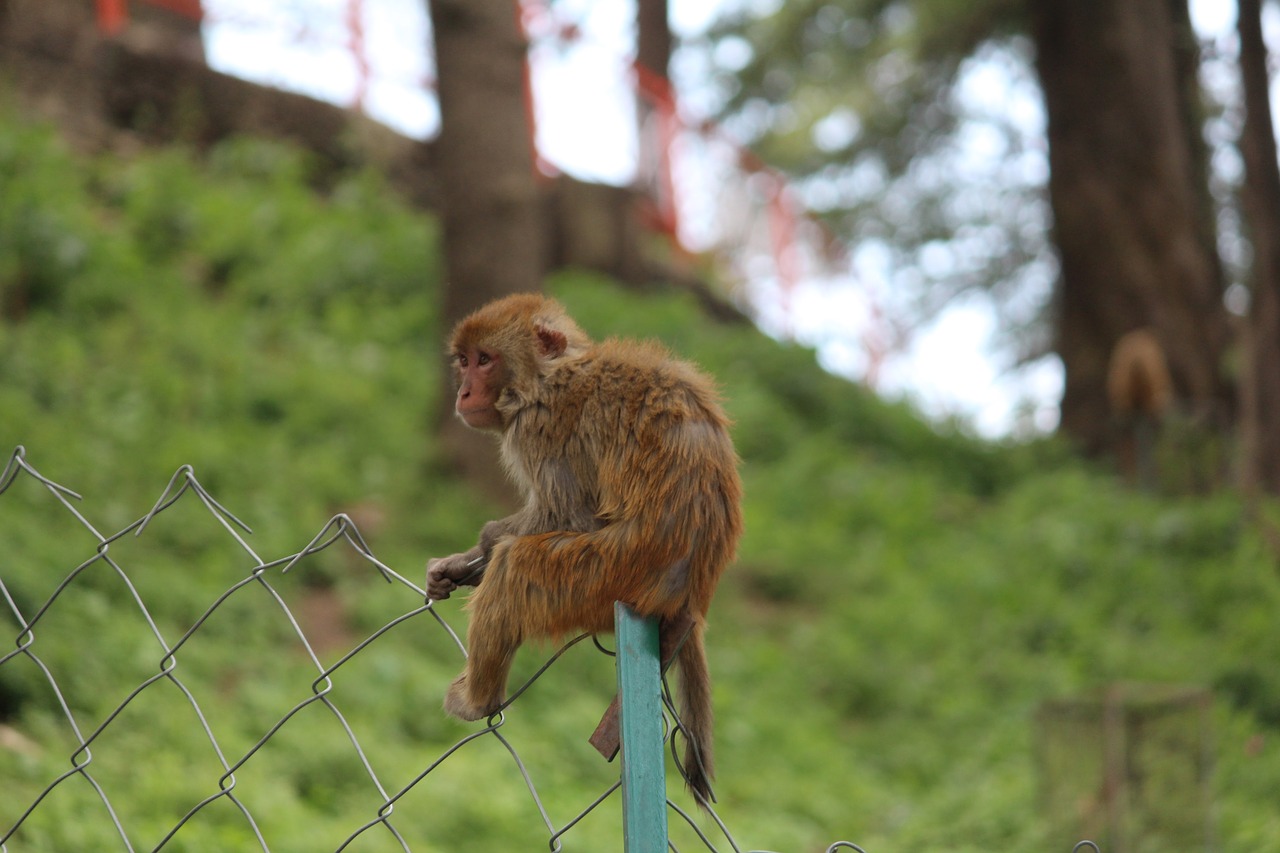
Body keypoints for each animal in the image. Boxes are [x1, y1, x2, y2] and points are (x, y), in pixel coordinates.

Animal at [424, 289, 747, 799]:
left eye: (485, 360)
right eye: (464, 361)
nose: (463, 392)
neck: (548, 377)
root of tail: (693, 596)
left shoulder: (540, 426)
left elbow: (571, 515)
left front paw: (485, 544)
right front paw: (458, 565)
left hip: (607, 576)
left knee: (519, 567)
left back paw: (478, 698)